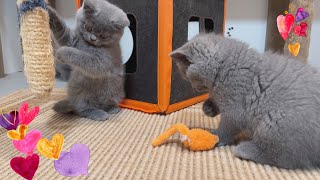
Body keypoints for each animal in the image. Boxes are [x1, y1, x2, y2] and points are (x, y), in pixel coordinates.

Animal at [171, 33, 320, 169]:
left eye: (188, 76)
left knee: (285, 158)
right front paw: (208, 107)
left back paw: (244, 150)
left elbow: (227, 127)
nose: (194, 87)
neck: (224, 69)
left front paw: (215, 137)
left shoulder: (235, 109)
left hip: (275, 122)